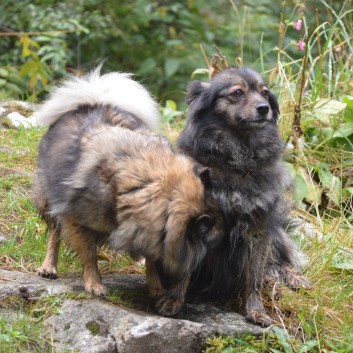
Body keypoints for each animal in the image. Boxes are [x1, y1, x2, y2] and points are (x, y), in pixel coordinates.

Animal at [33, 67, 221, 314]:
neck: (143, 185)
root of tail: (95, 101)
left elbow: (151, 260)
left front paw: (156, 288)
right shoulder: (76, 220)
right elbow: (89, 254)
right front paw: (94, 284)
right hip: (49, 199)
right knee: (54, 234)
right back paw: (48, 266)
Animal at [177, 67, 310, 326]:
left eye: (265, 93)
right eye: (237, 93)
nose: (264, 108)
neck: (238, 160)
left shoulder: (259, 229)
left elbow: (254, 277)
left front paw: (256, 311)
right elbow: (183, 272)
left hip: (276, 233)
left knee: (280, 261)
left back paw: (291, 279)